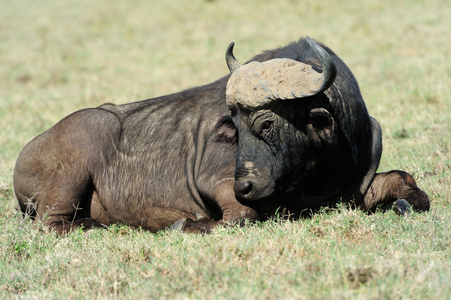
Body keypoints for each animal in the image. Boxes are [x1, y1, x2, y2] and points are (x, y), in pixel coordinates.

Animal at [13, 37, 430, 234]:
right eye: (234, 123)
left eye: (266, 123)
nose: (244, 184)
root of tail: (26, 153)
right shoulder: (216, 183)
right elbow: (242, 214)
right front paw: (188, 224)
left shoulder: (353, 189)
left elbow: (404, 180)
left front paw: (405, 203)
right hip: (71, 173)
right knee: (50, 224)